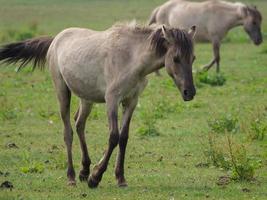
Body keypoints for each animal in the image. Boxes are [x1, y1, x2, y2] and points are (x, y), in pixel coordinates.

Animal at [0, 23, 197, 188]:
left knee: (79, 124)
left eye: (193, 58)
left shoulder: (131, 101)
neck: (131, 57)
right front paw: (96, 177)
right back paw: (72, 177)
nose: (190, 92)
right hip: (62, 92)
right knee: (68, 132)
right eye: (176, 58)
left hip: (86, 98)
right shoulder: (112, 100)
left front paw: (120, 178)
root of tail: (56, 38)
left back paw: (83, 170)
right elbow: (113, 137)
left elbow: (124, 138)